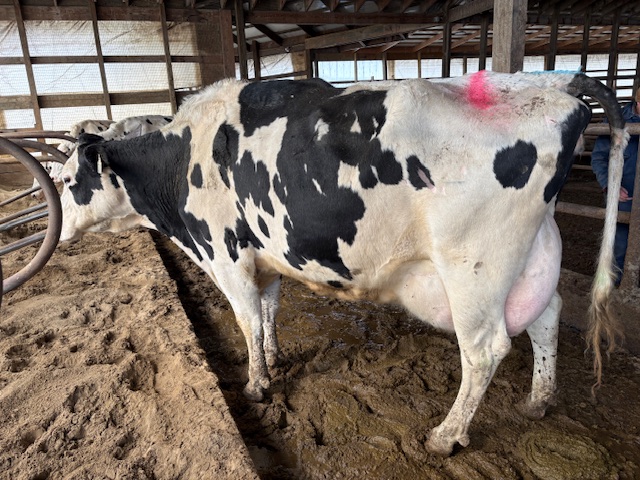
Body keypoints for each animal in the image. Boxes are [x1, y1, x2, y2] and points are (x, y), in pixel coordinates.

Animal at [58, 71, 627, 456]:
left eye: (66, 181)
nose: (56, 230)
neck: (181, 158)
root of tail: (552, 82)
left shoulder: (227, 253)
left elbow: (247, 318)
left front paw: (258, 384)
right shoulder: (266, 255)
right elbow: (269, 309)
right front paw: (276, 356)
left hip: (474, 266)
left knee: (485, 349)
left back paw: (446, 435)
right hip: (533, 253)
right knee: (547, 316)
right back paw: (538, 400)